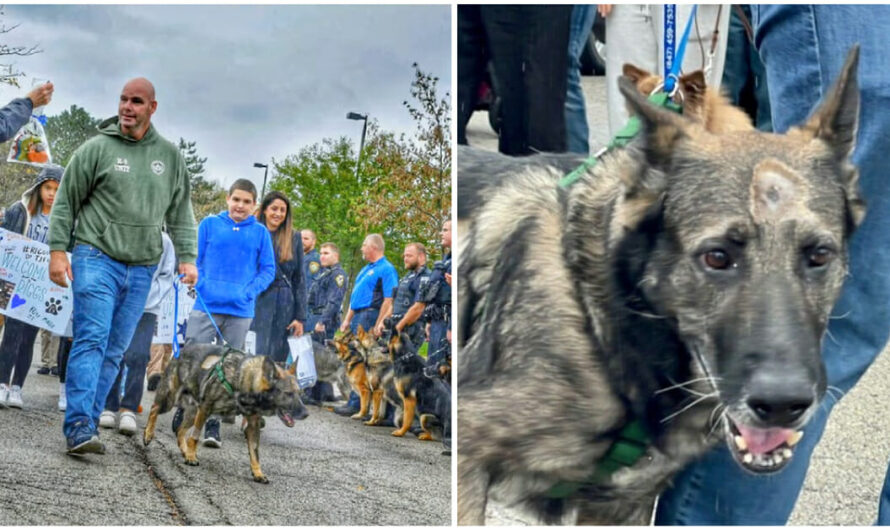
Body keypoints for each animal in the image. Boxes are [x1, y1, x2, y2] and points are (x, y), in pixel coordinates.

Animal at [144, 342, 310, 482]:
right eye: (288, 393)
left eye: (300, 393)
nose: (306, 413)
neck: (243, 380)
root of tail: (181, 350)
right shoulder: (205, 409)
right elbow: (195, 437)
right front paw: (191, 456)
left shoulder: (252, 425)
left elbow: (255, 451)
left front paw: (258, 472)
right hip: (170, 400)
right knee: (154, 409)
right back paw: (148, 434)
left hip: (192, 412)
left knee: (180, 430)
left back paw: (183, 451)